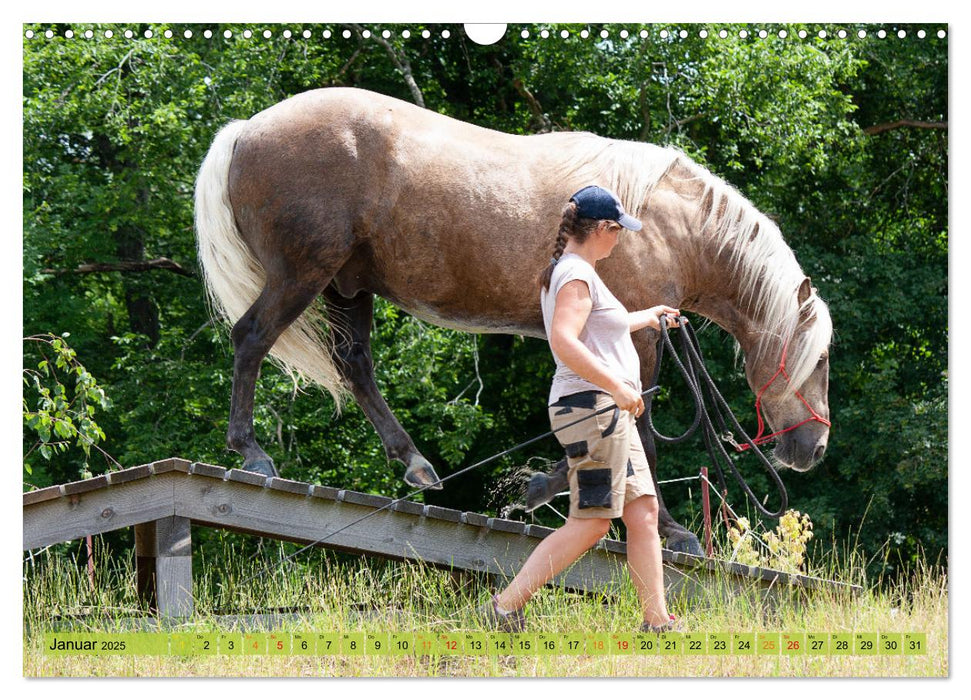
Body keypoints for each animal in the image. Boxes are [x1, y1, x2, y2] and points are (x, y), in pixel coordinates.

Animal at [194, 87, 832, 556]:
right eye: (820, 358)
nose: (815, 449)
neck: (669, 223)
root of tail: (246, 130)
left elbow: (604, 417)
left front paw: (539, 487)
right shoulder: (637, 333)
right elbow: (639, 426)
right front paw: (672, 532)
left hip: (345, 288)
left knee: (354, 365)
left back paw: (416, 464)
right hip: (303, 274)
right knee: (251, 338)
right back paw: (251, 452)